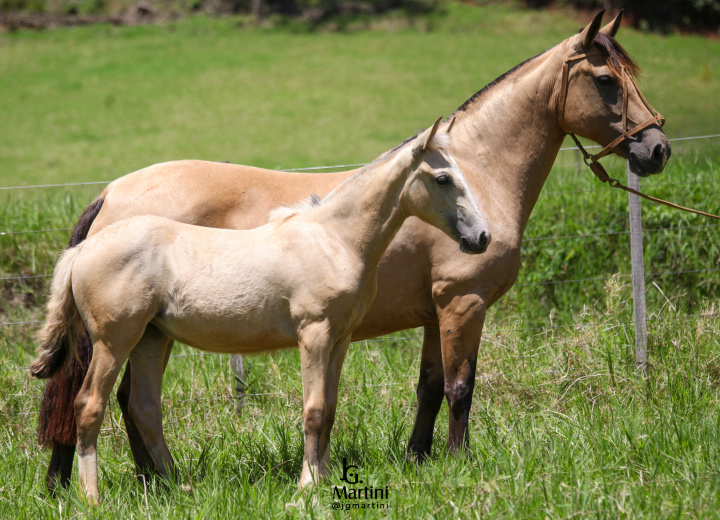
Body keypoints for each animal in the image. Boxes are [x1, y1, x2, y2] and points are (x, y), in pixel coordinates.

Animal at [32, 120, 490, 502]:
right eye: (443, 178)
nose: (482, 237)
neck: (333, 238)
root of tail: (82, 250)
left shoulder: (340, 340)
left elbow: (330, 408)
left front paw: (324, 480)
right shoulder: (314, 334)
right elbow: (314, 411)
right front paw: (307, 487)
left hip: (151, 339)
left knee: (144, 407)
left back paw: (178, 486)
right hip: (113, 341)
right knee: (89, 405)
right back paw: (93, 498)